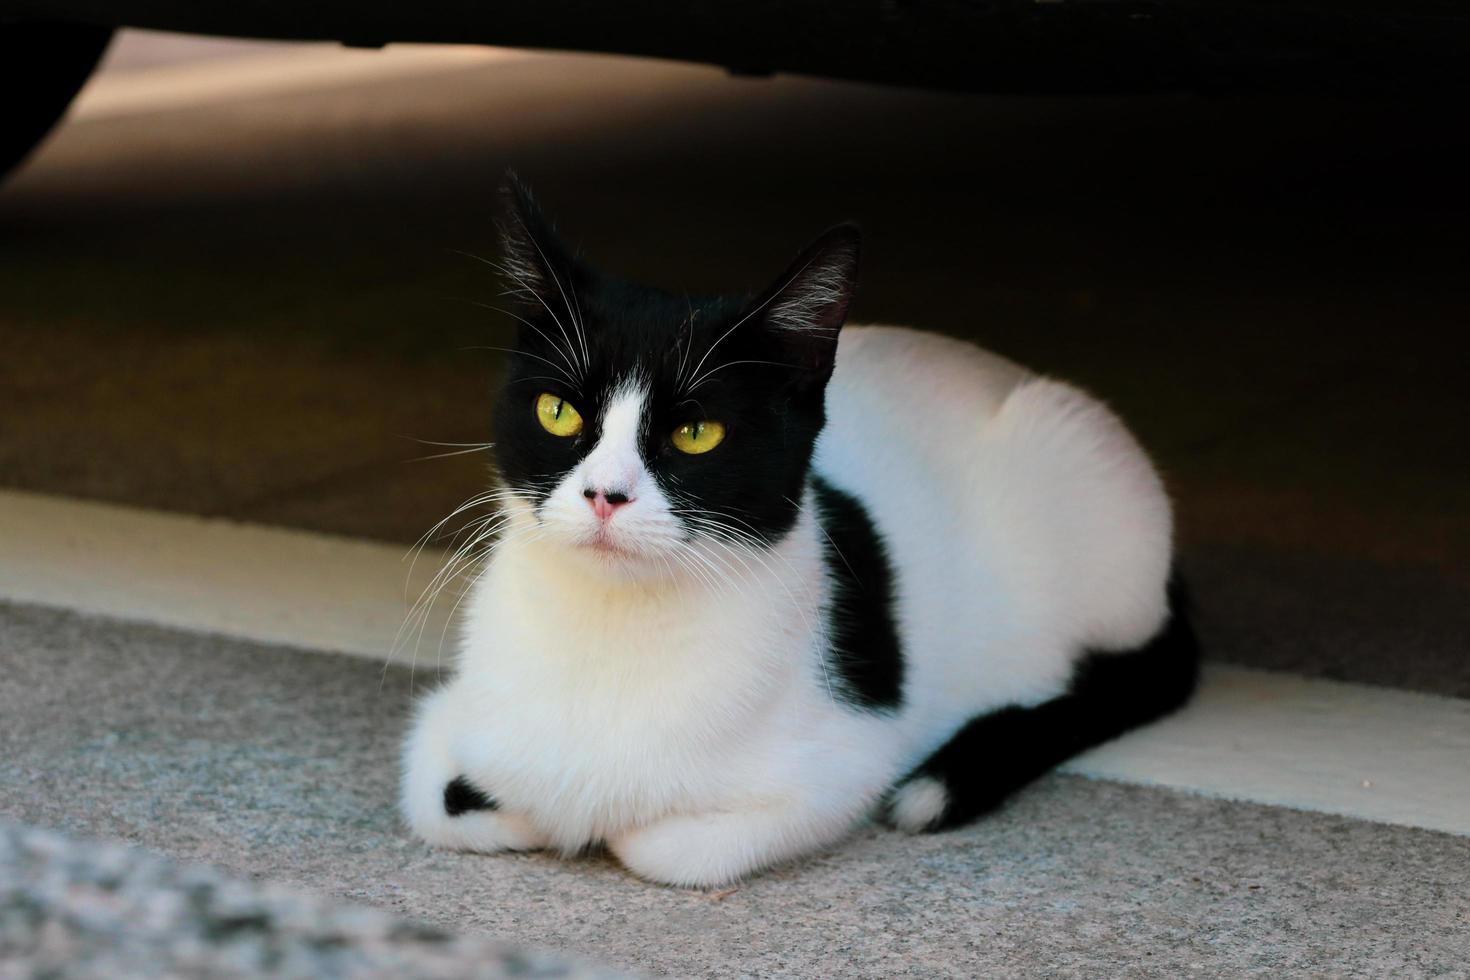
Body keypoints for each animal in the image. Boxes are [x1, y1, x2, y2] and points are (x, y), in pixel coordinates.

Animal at [399, 176, 1193, 887]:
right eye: (559, 412)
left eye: (695, 433)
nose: (604, 495)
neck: (609, 633)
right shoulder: (444, 723)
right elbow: (443, 801)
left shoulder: (848, 762)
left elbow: (663, 846)